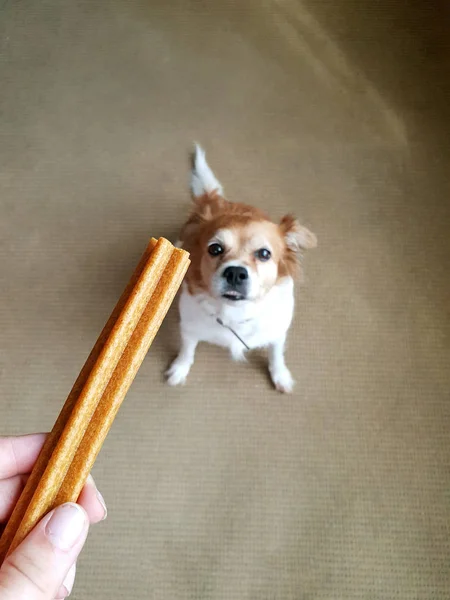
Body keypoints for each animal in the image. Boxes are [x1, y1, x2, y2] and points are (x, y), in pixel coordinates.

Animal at [165, 146, 316, 394]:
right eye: (215, 249)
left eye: (264, 254)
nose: (235, 272)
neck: (236, 313)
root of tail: (216, 200)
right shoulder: (189, 329)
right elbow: (187, 351)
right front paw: (179, 369)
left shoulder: (277, 332)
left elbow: (276, 355)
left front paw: (281, 376)